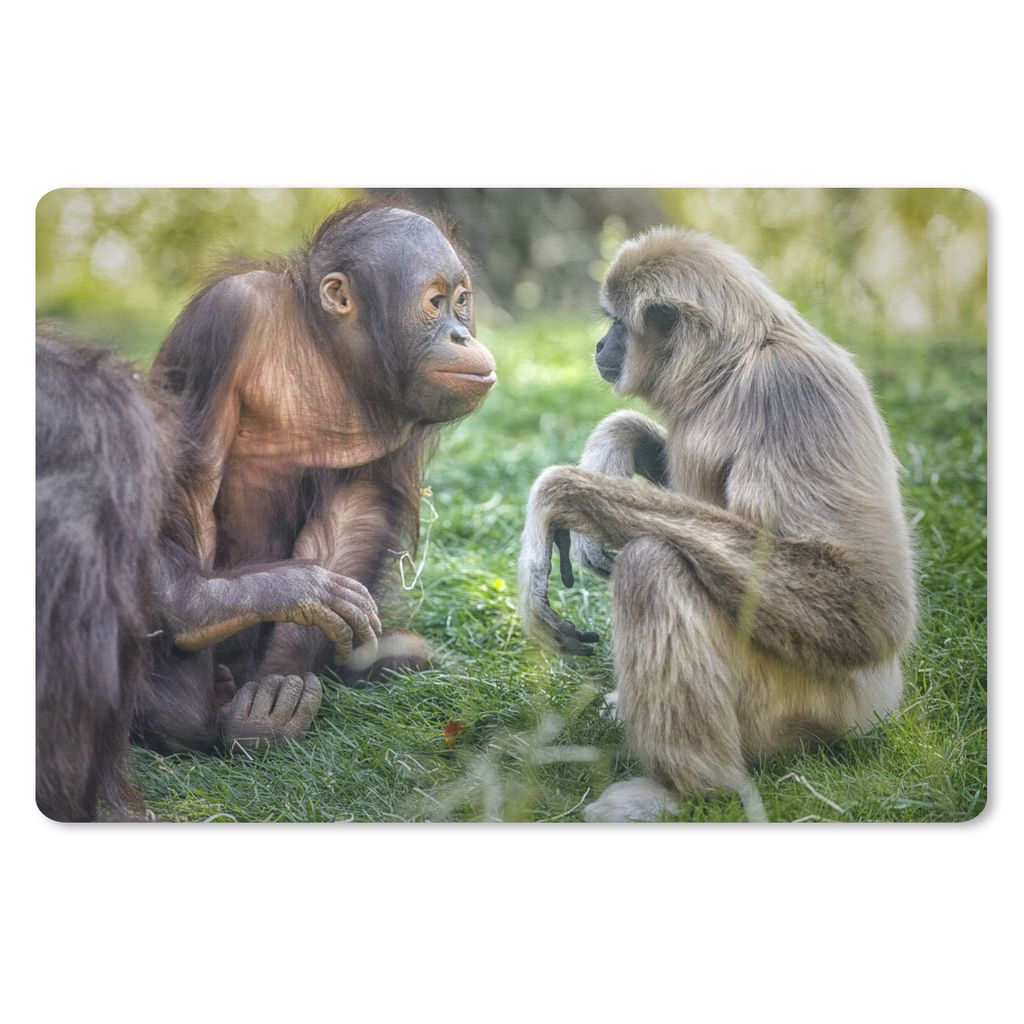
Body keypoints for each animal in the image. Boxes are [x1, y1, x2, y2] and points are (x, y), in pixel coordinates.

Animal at [518, 228, 917, 822]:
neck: (733, 368)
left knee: (653, 563)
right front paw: (614, 443)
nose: (600, 344)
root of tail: (878, 704)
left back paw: (692, 790)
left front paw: (560, 494)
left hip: (803, 702)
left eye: (617, 323)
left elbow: (868, 603)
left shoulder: (789, 392)